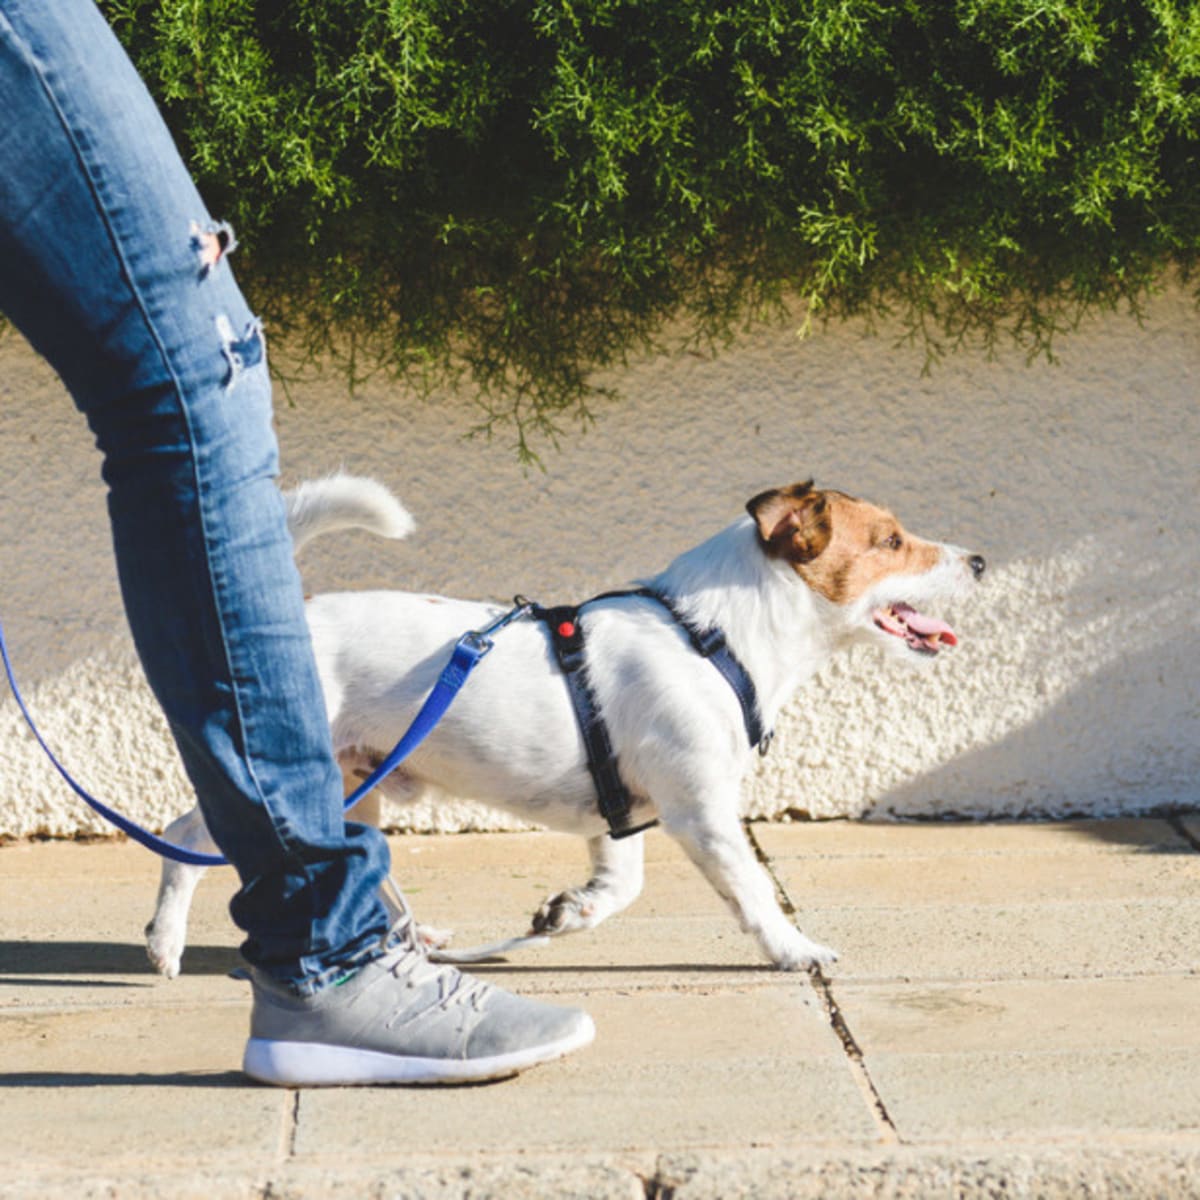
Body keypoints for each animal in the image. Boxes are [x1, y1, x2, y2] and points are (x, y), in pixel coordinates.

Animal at [145, 468, 984, 974]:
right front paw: (793, 948)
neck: (712, 635)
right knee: (185, 839)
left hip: (358, 784)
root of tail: (295, 618)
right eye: (891, 541)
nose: (979, 561)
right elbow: (752, 891)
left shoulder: (622, 813)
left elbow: (619, 887)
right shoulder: (702, 812)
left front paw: (567, 913)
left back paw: (416, 939)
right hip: (290, 778)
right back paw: (165, 943)